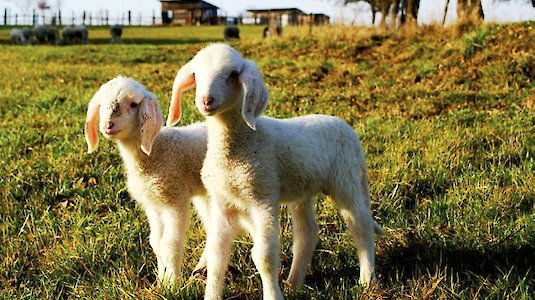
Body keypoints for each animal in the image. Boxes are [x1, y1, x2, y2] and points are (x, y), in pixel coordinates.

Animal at [84, 75, 211, 286]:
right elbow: (156, 243)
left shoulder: (175, 199)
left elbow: (169, 244)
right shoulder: (153, 204)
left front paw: (173, 284)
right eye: (101, 104)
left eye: (134, 104)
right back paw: (202, 268)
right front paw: (161, 280)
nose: (108, 125)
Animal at [168, 43, 386, 298]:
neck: (238, 148)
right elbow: (216, 257)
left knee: (361, 226)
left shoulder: (263, 198)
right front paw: (211, 294)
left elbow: (264, 257)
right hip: (303, 190)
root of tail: (348, 129)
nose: (206, 100)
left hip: (346, 180)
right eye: (196, 74)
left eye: (232, 74)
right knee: (307, 232)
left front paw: (272, 294)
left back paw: (367, 279)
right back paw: (294, 282)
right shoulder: (223, 203)